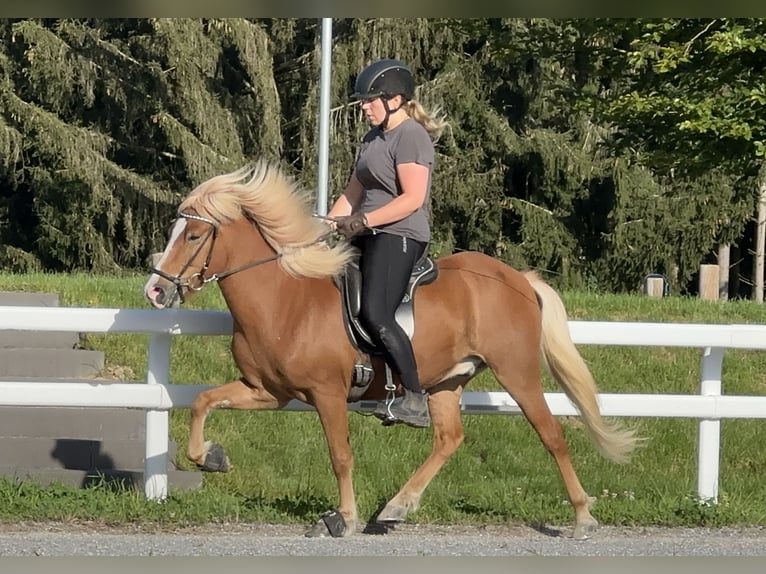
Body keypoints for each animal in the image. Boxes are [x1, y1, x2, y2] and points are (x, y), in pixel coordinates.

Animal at [144, 162, 640, 540]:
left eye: (192, 237)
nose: (154, 291)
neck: (286, 299)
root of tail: (518, 279)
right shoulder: (267, 391)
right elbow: (203, 401)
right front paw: (211, 457)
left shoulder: (327, 394)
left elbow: (340, 455)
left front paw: (343, 518)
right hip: (447, 380)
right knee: (448, 439)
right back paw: (396, 506)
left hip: (516, 372)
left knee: (551, 434)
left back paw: (582, 517)